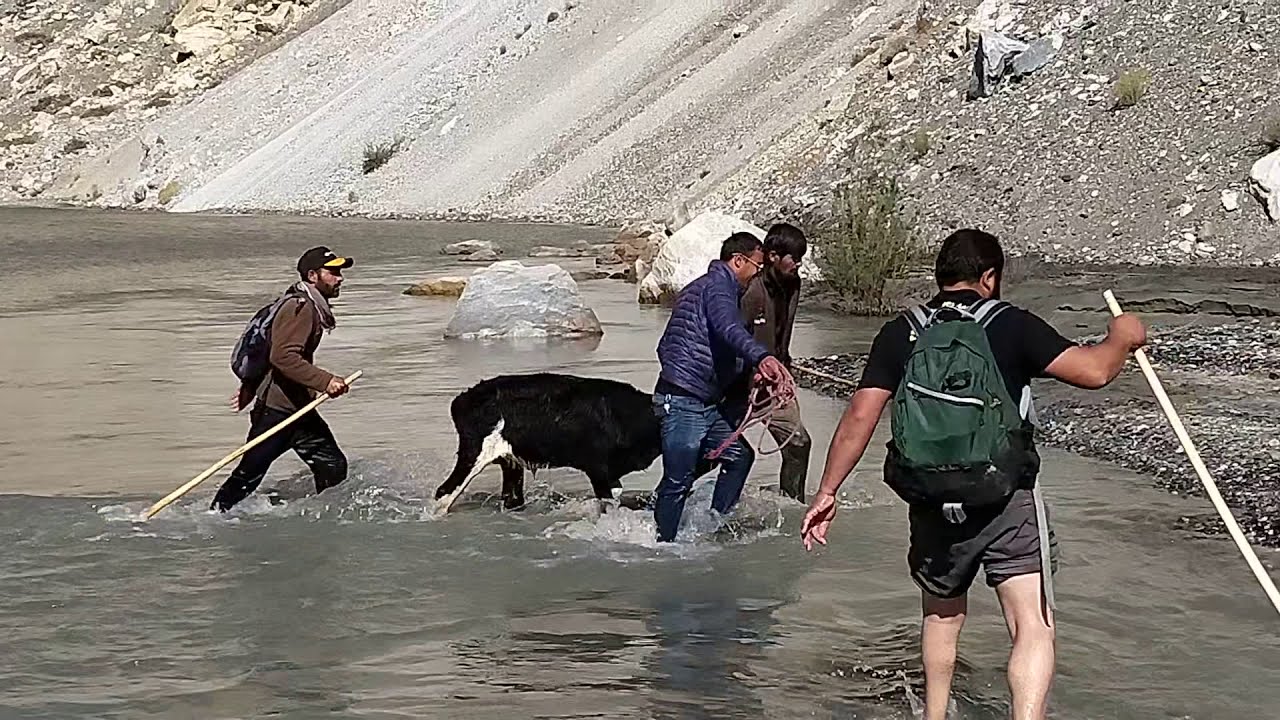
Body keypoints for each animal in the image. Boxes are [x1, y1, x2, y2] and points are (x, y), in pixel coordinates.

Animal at [433, 372, 665, 513]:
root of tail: (461, 399)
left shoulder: (611, 474)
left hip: (510, 461)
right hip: (474, 454)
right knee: (444, 492)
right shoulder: (597, 468)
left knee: (512, 499)